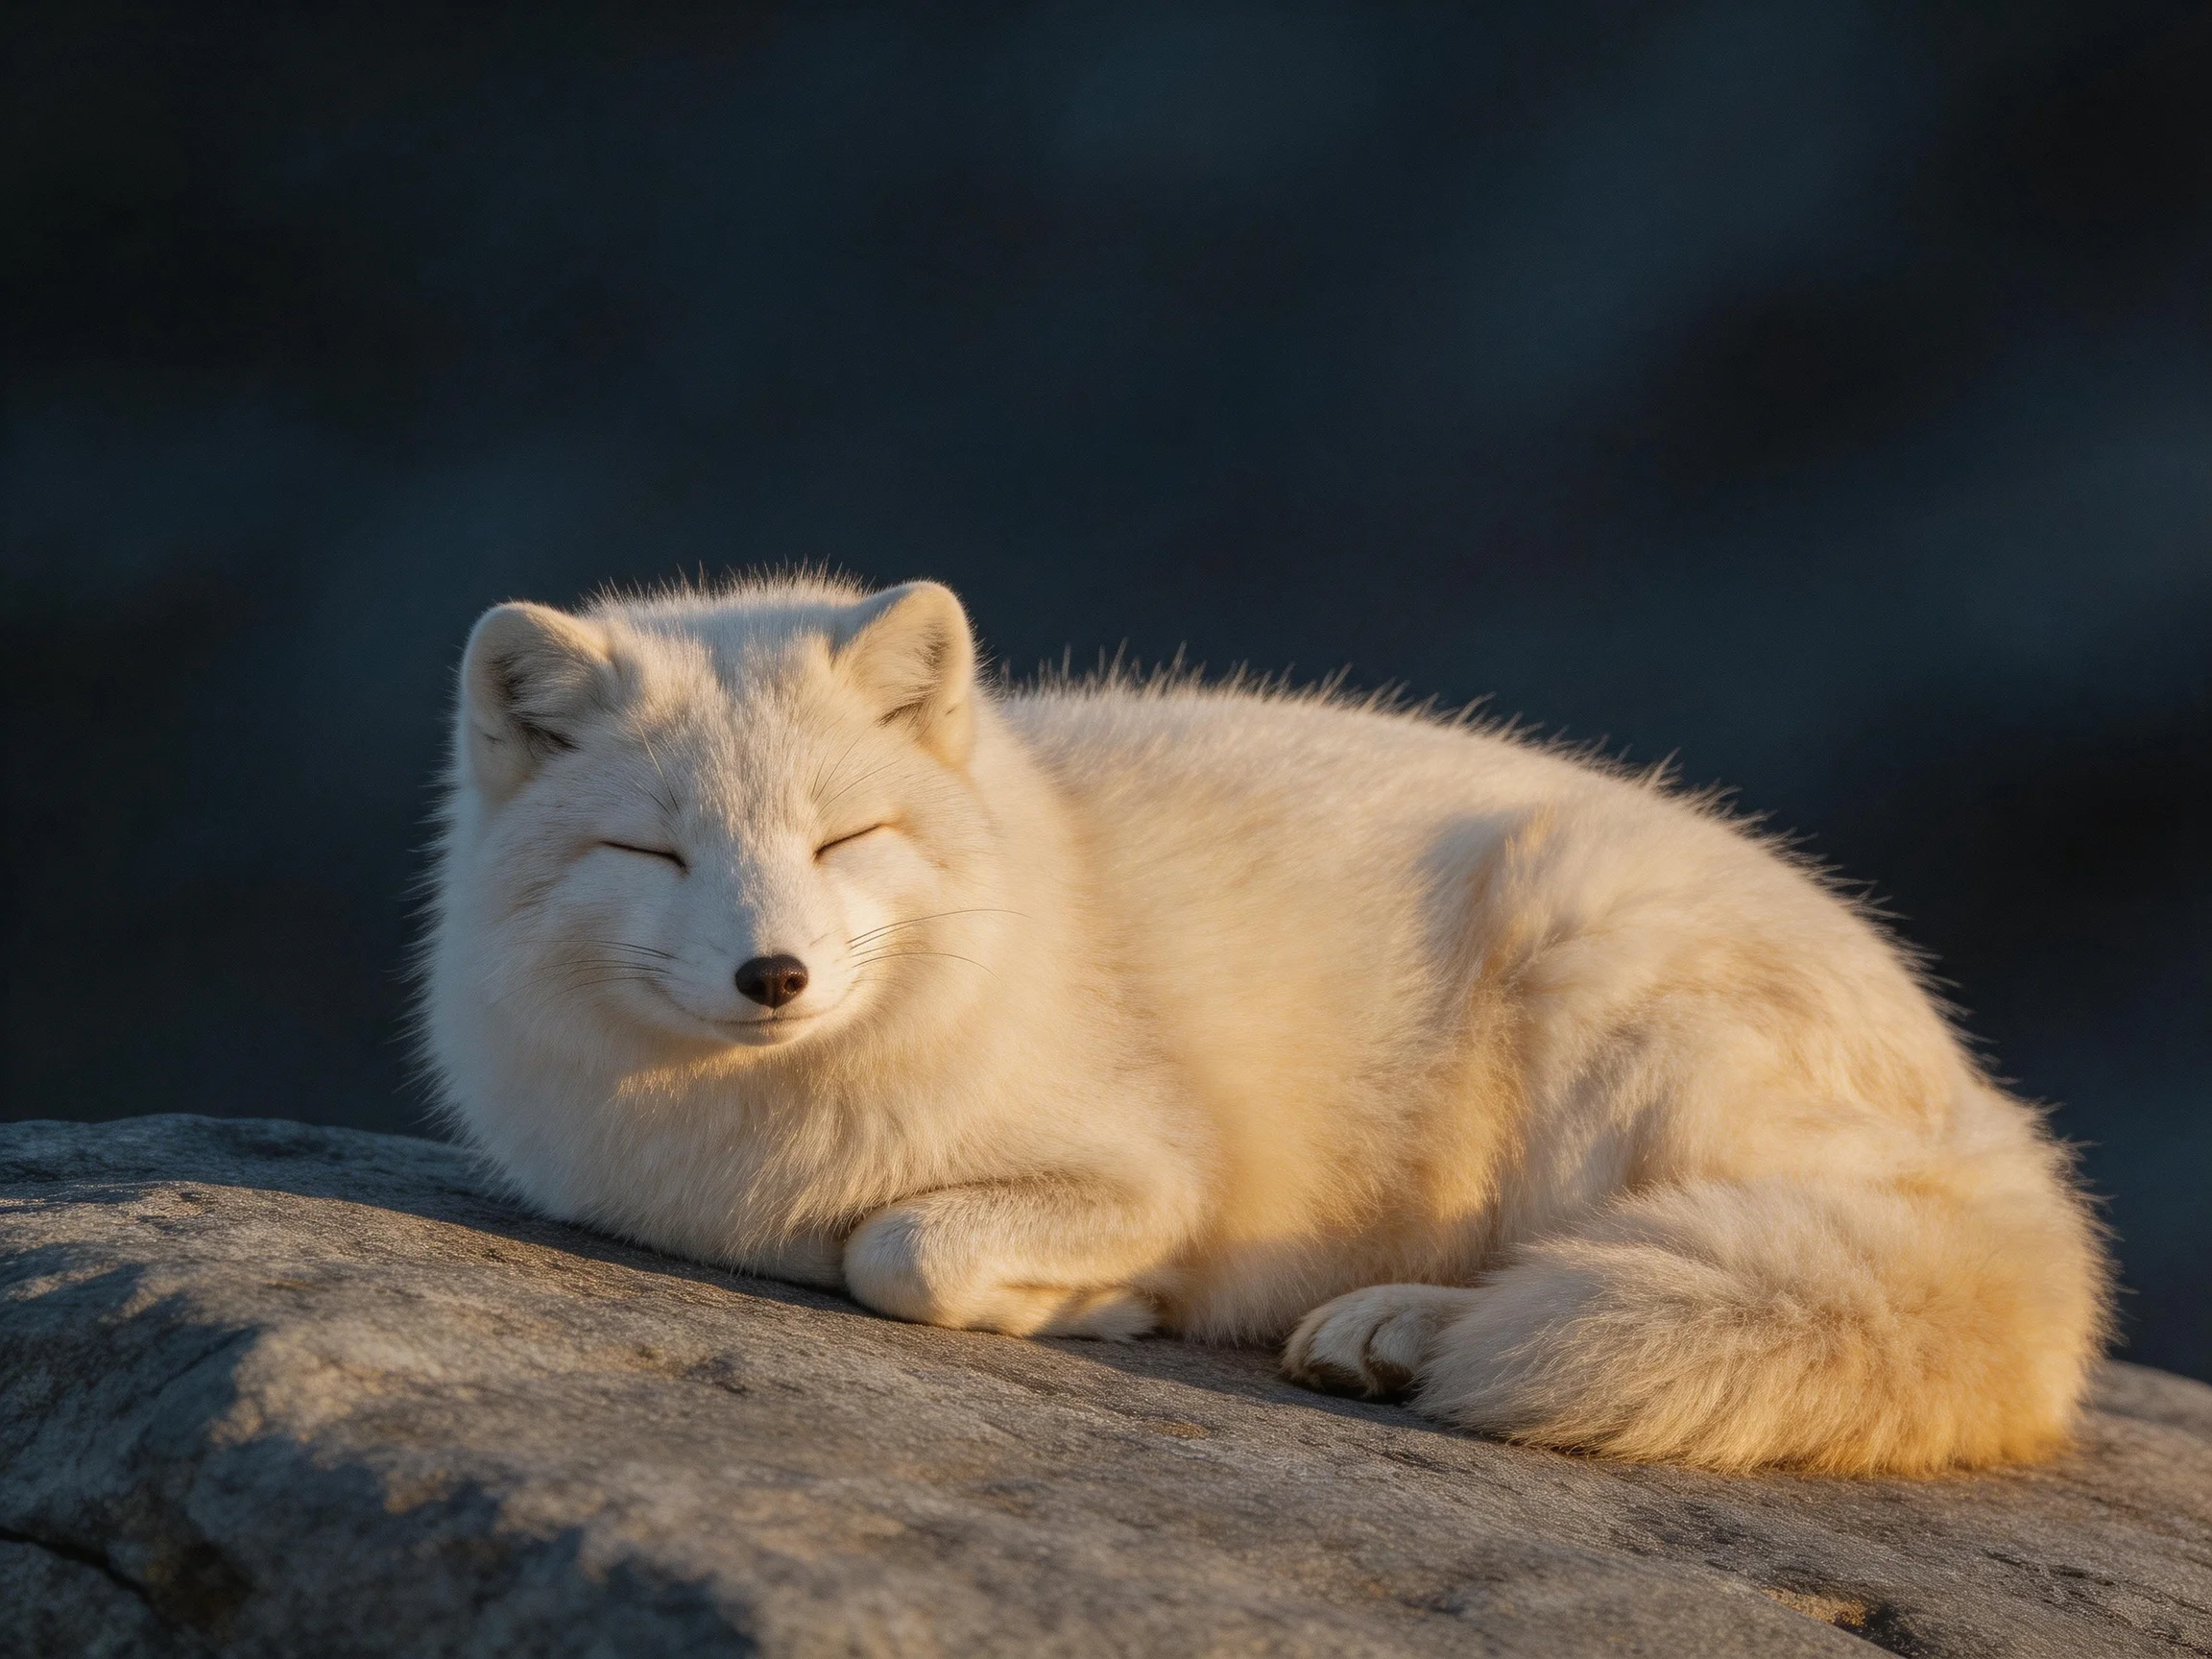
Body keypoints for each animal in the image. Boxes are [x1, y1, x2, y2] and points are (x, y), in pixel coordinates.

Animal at [422, 574, 2109, 1475]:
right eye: (653, 851)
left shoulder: (1164, 1164)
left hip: (1591, 973)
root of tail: (1996, 1126)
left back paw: (1408, 1334)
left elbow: (904, 1253)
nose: (775, 978)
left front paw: (1106, 1307)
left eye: (845, 841)